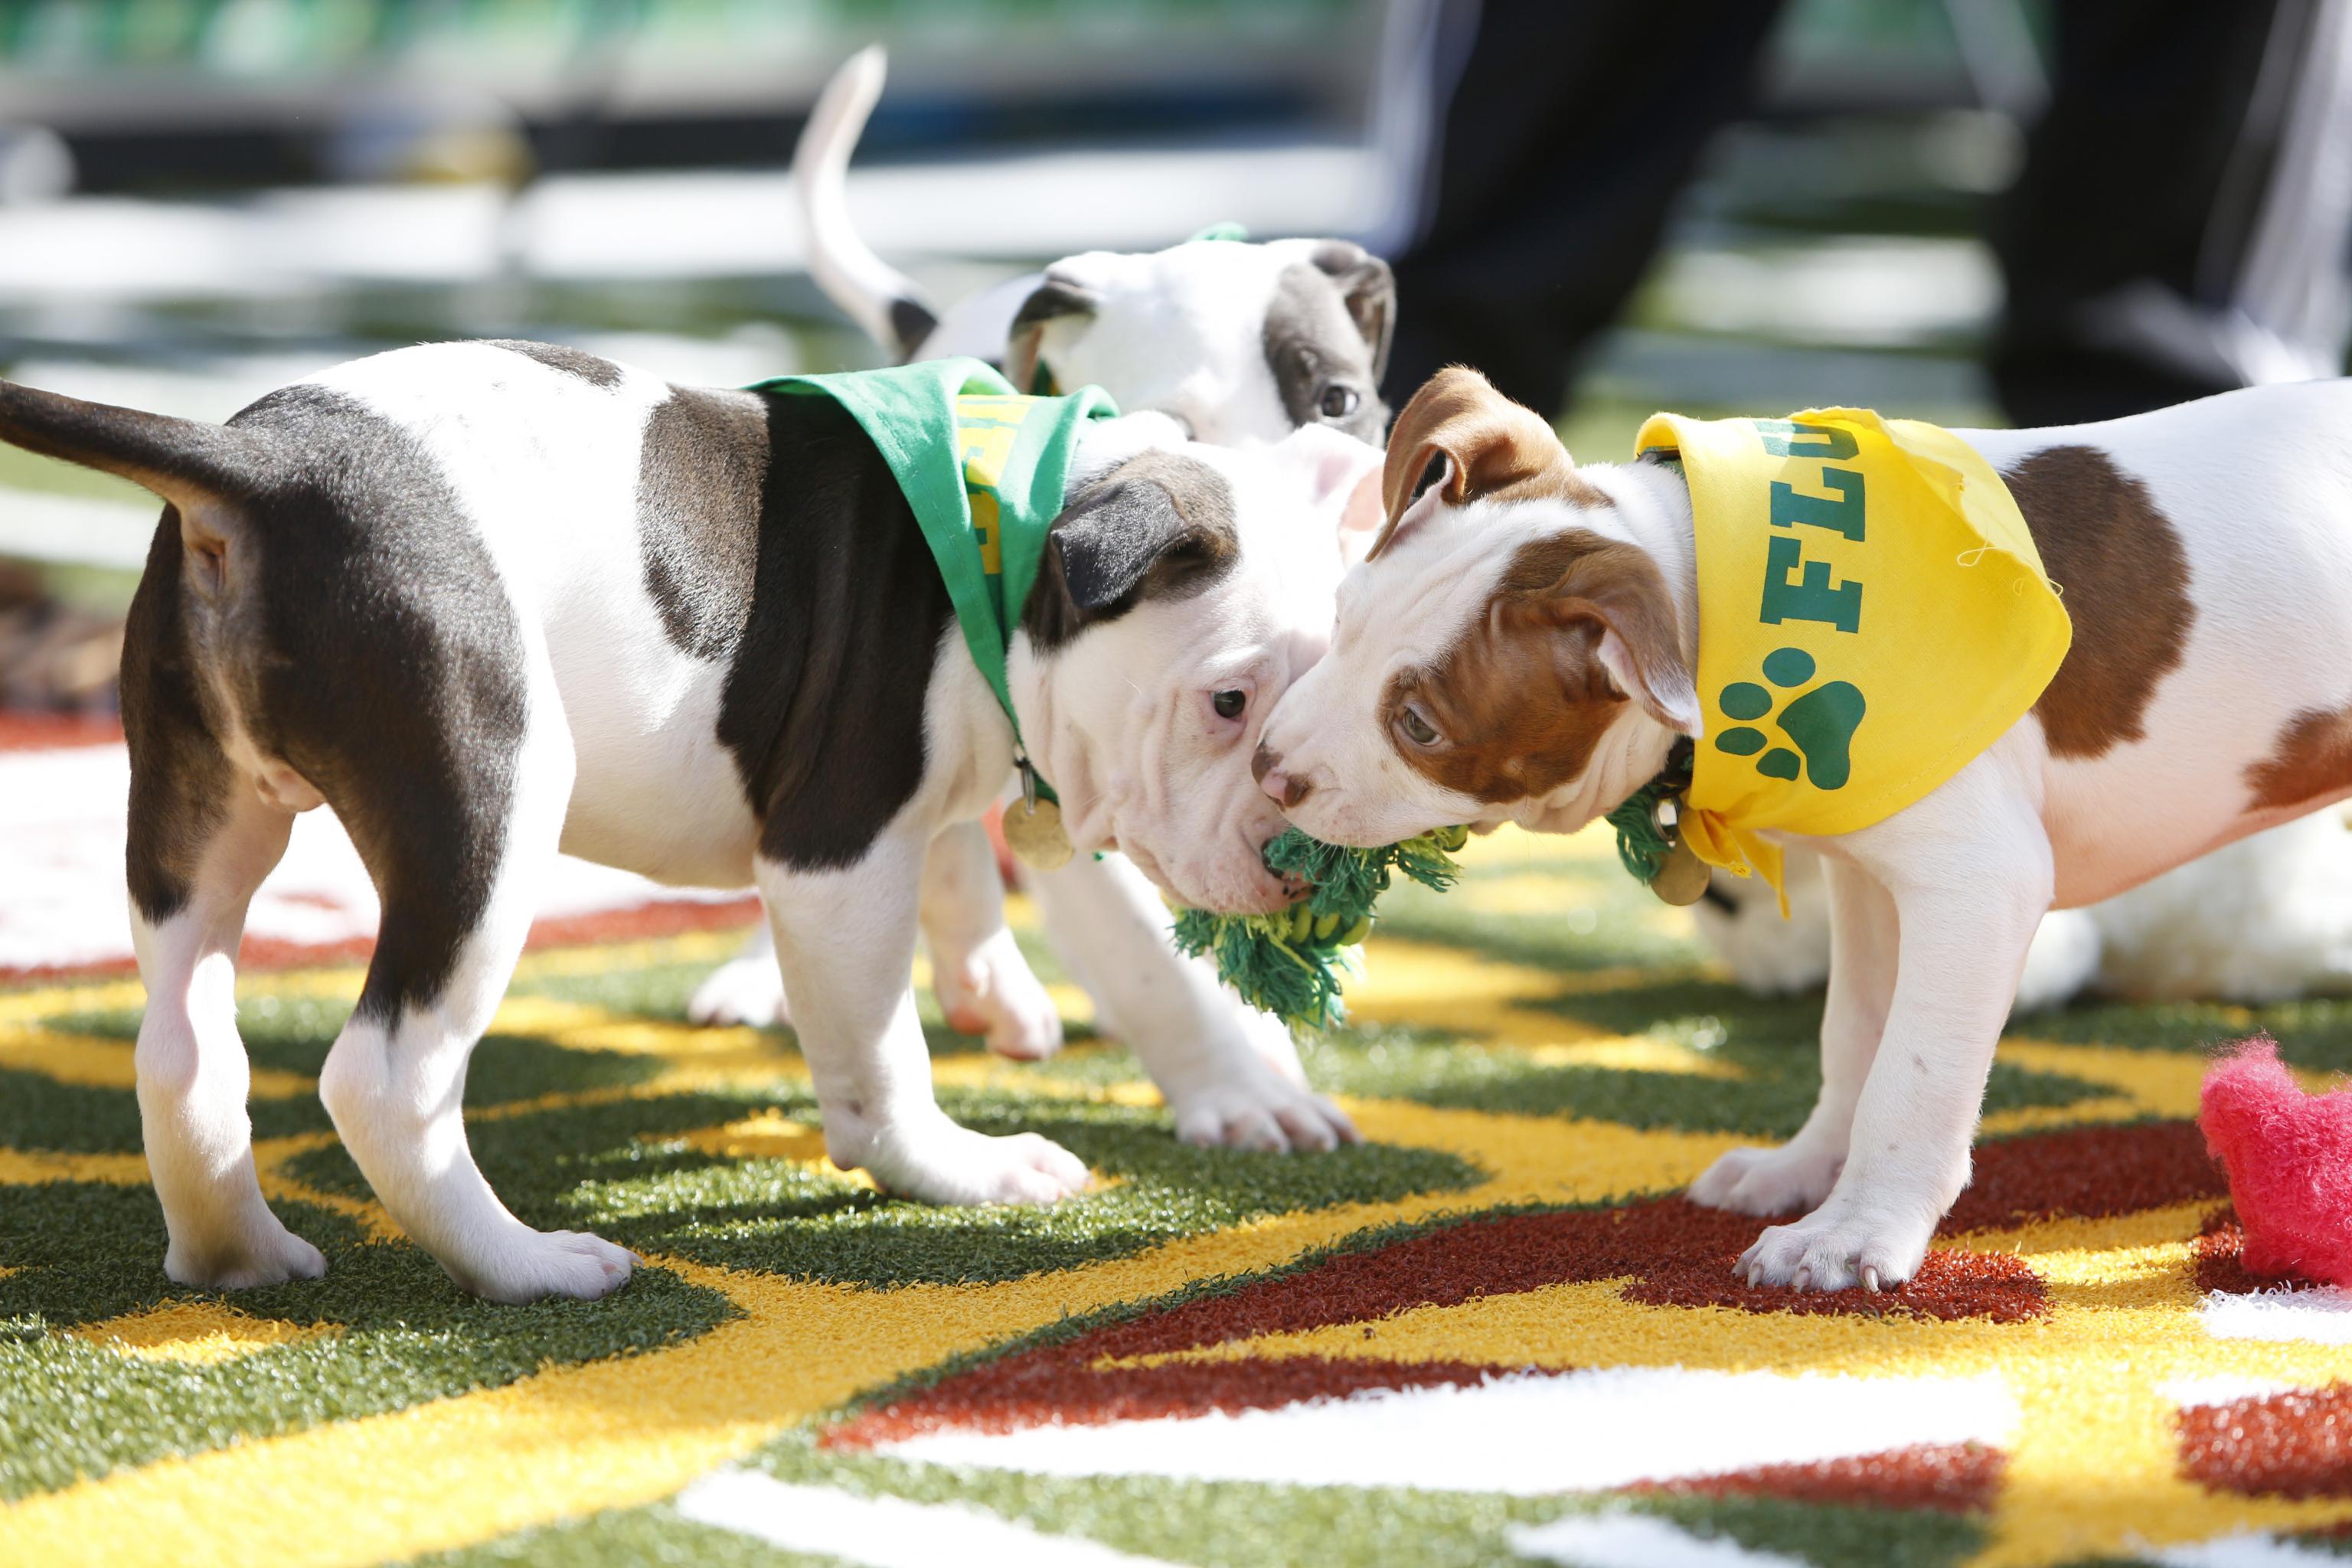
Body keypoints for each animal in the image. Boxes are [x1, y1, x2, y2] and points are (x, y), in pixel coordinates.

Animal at [0, 341, 1383, 1297]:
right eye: (1227, 701)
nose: (1301, 853)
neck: (1016, 531)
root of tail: (264, 470)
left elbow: (968, 876)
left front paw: (1001, 994)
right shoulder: (837, 853)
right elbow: (881, 1049)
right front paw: (957, 1166)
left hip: (198, 807)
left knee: (183, 1043)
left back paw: (236, 1252)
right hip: (487, 802)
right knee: (387, 1076)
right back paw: (526, 1266)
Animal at [1269, 364, 2352, 1288]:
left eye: (1419, 725)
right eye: (1342, 613)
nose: (1268, 766)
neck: (1721, 590)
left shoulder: (1978, 884)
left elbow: (1912, 1072)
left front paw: (1856, 1232)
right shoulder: (1873, 875)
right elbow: (1857, 1033)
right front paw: (1808, 1170)